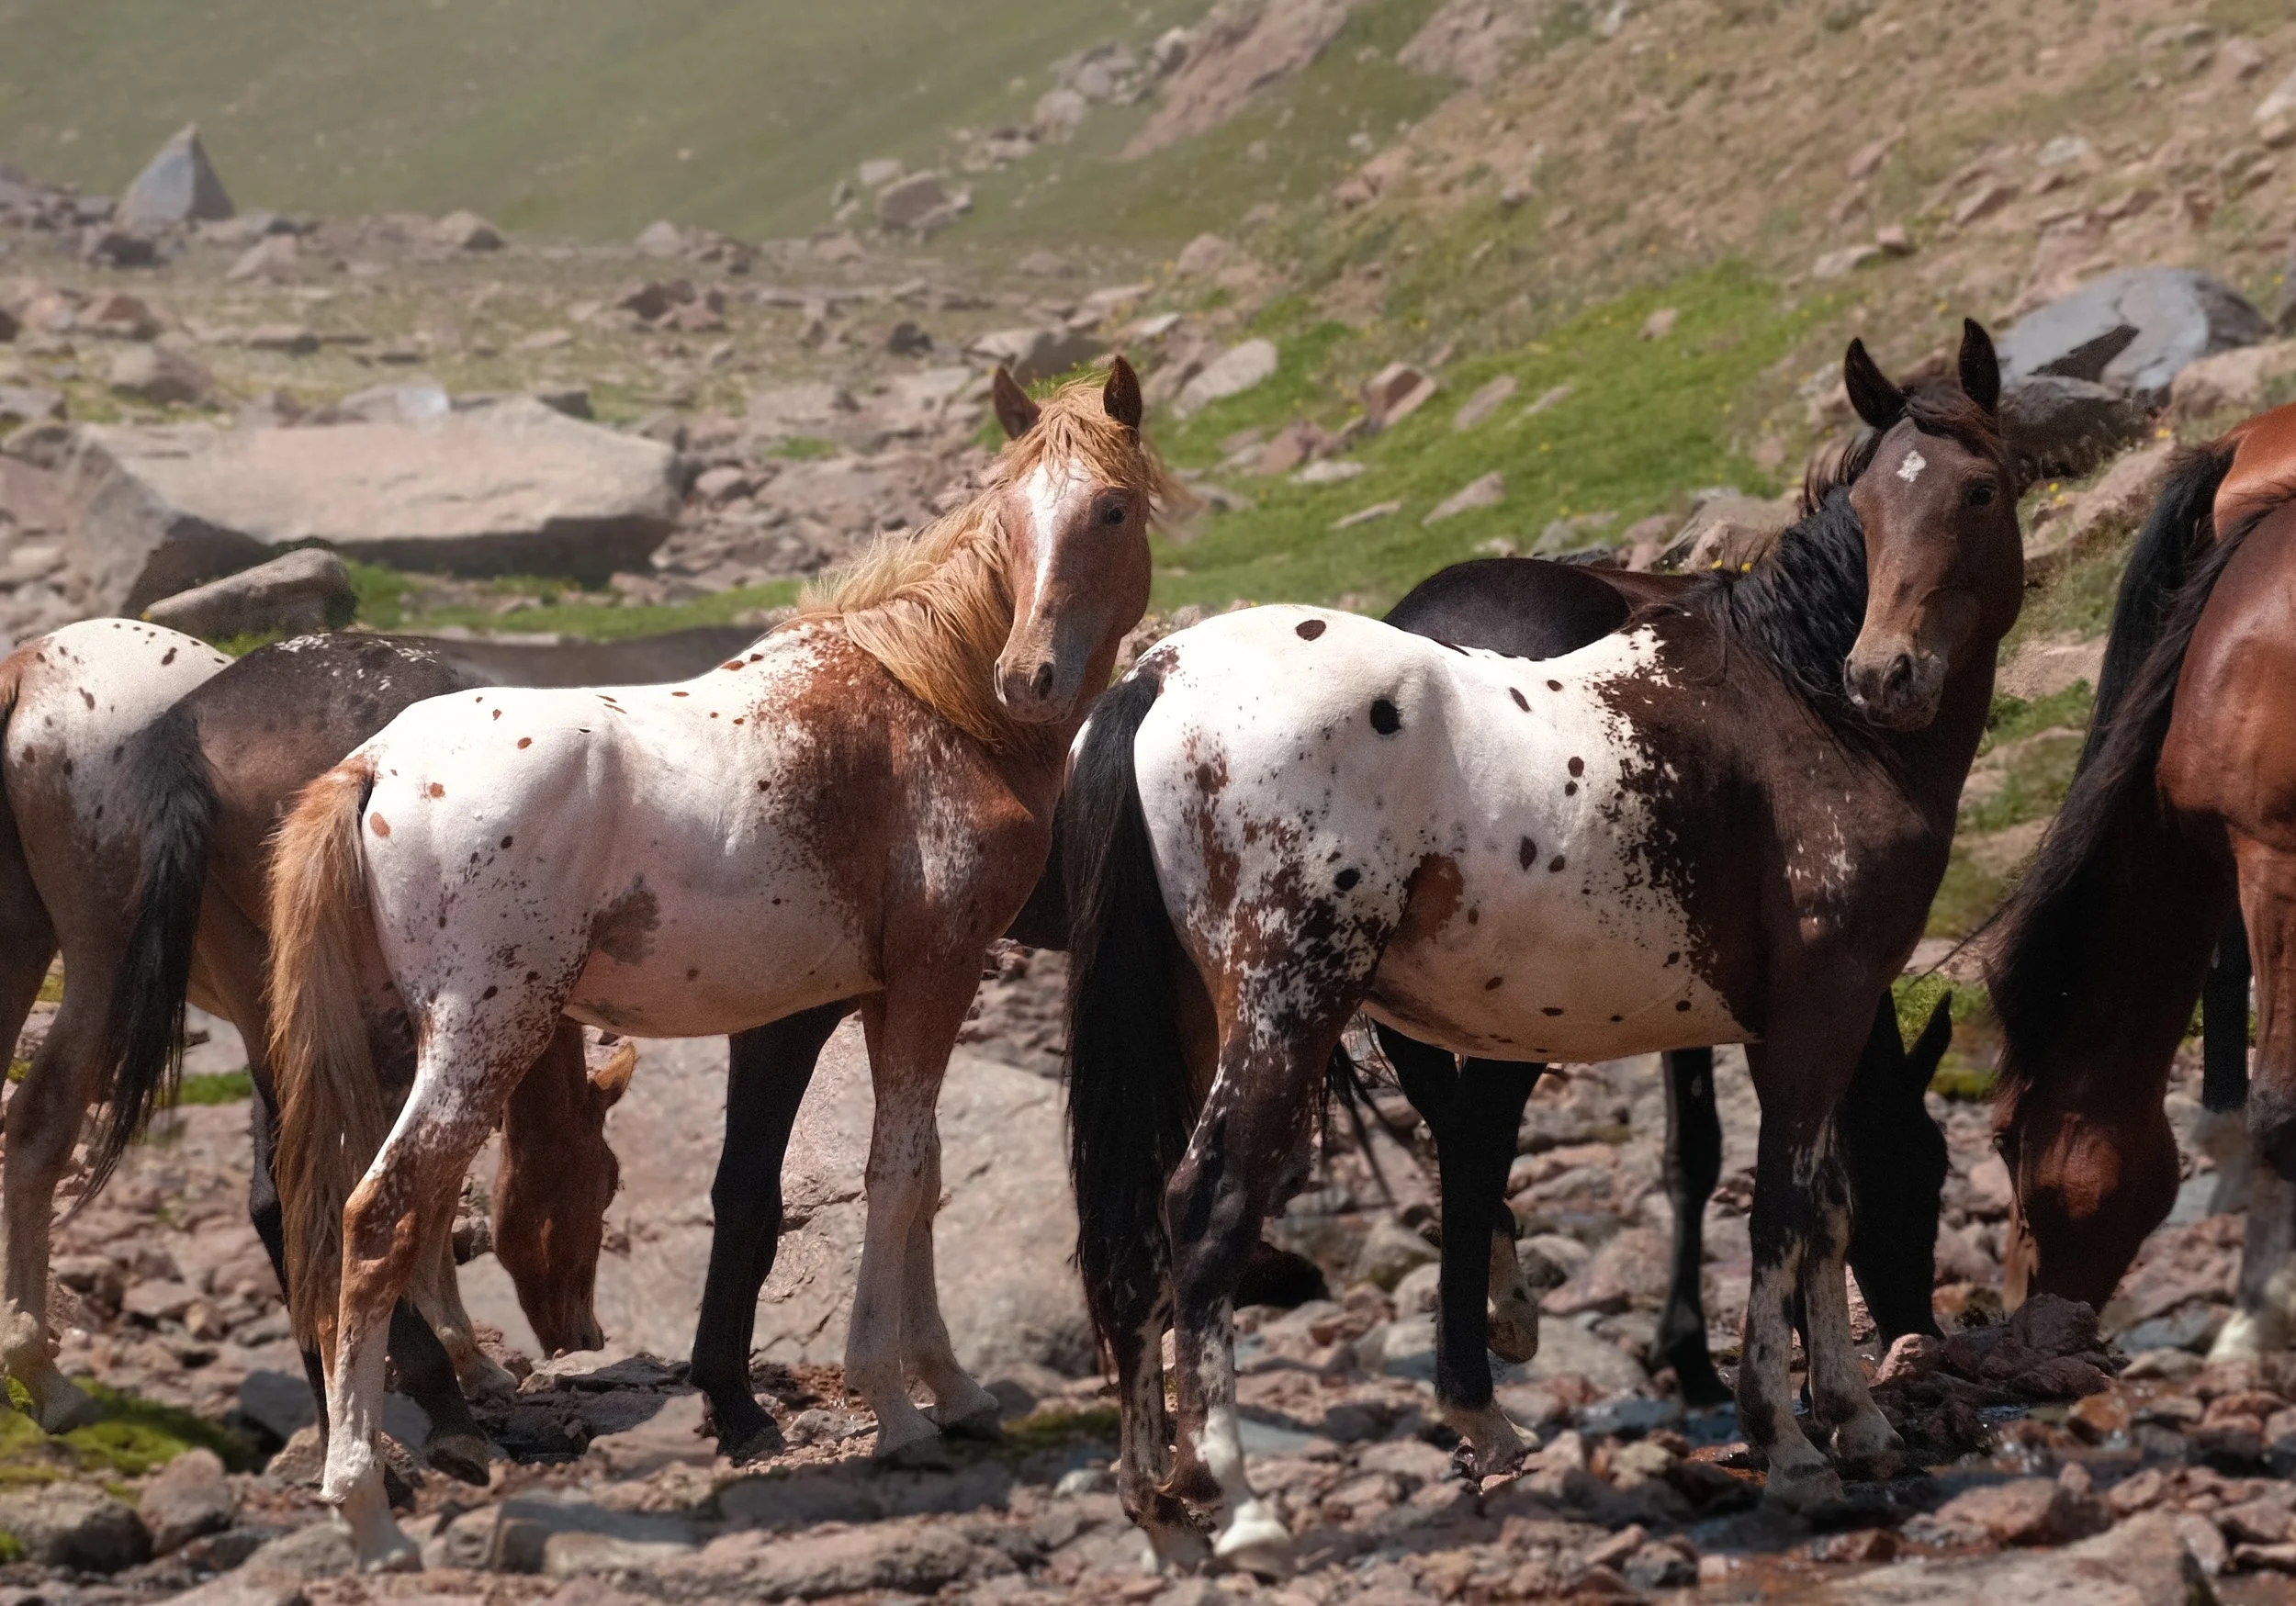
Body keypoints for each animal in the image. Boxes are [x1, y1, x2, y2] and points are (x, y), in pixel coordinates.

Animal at [268, 361, 1167, 1568]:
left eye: (1108, 510)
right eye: (1010, 515)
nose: (1029, 675)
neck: (934, 707)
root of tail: (374, 764)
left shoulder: (881, 997)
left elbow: (920, 1173)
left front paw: (953, 1387)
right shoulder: (938, 975)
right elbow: (895, 1174)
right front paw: (896, 1408)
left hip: (394, 1044)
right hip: (480, 1036)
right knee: (378, 1220)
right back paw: (365, 1506)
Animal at [1057, 322, 2018, 1567]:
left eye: (1977, 490)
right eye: (1875, 505)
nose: (1885, 673)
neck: (1803, 714)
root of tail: (1158, 673)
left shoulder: (1808, 1020)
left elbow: (1821, 1207)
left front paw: (1850, 1413)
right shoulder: (1822, 1006)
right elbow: (1789, 1208)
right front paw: (1795, 1434)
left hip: (1194, 1013)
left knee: (1139, 1221)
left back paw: (1159, 1502)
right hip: (1287, 1009)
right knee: (1206, 1208)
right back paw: (1242, 1500)